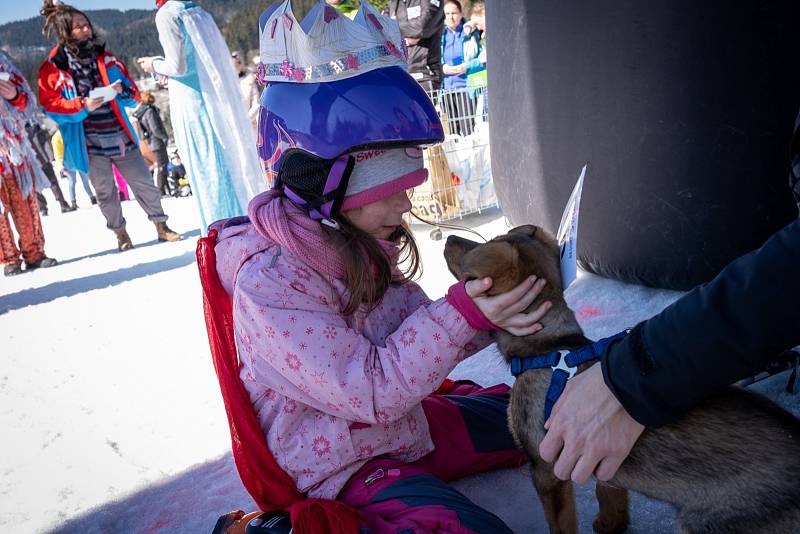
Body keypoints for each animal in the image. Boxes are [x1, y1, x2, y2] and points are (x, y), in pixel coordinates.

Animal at [444, 226, 800, 534]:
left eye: (475, 253)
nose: (446, 237)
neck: (550, 346)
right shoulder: (598, 454)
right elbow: (610, 490)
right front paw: (611, 523)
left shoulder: (546, 471)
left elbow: (561, 524)